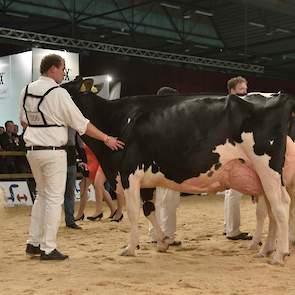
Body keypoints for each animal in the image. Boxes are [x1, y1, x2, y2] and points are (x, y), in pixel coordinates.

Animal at [63, 78, 295, 266]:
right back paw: (265, 250)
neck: (118, 118)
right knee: (271, 210)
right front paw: (162, 243)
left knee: (281, 205)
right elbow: (149, 210)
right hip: (260, 176)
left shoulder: (130, 173)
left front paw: (129, 248)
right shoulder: (145, 180)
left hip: (268, 169)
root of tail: (280, 95)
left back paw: (278, 255)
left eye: (64, 90)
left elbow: (133, 213)